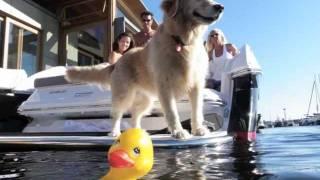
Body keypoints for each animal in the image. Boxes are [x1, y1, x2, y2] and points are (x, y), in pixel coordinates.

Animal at [65, 0, 222, 139]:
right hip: (123, 95)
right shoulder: (165, 86)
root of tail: (117, 62)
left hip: (146, 101)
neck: (183, 42)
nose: (220, 7)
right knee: (116, 114)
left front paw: (198, 129)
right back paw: (115, 132)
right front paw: (178, 131)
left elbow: (197, 111)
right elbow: (172, 112)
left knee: (135, 115)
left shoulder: (197, 85)